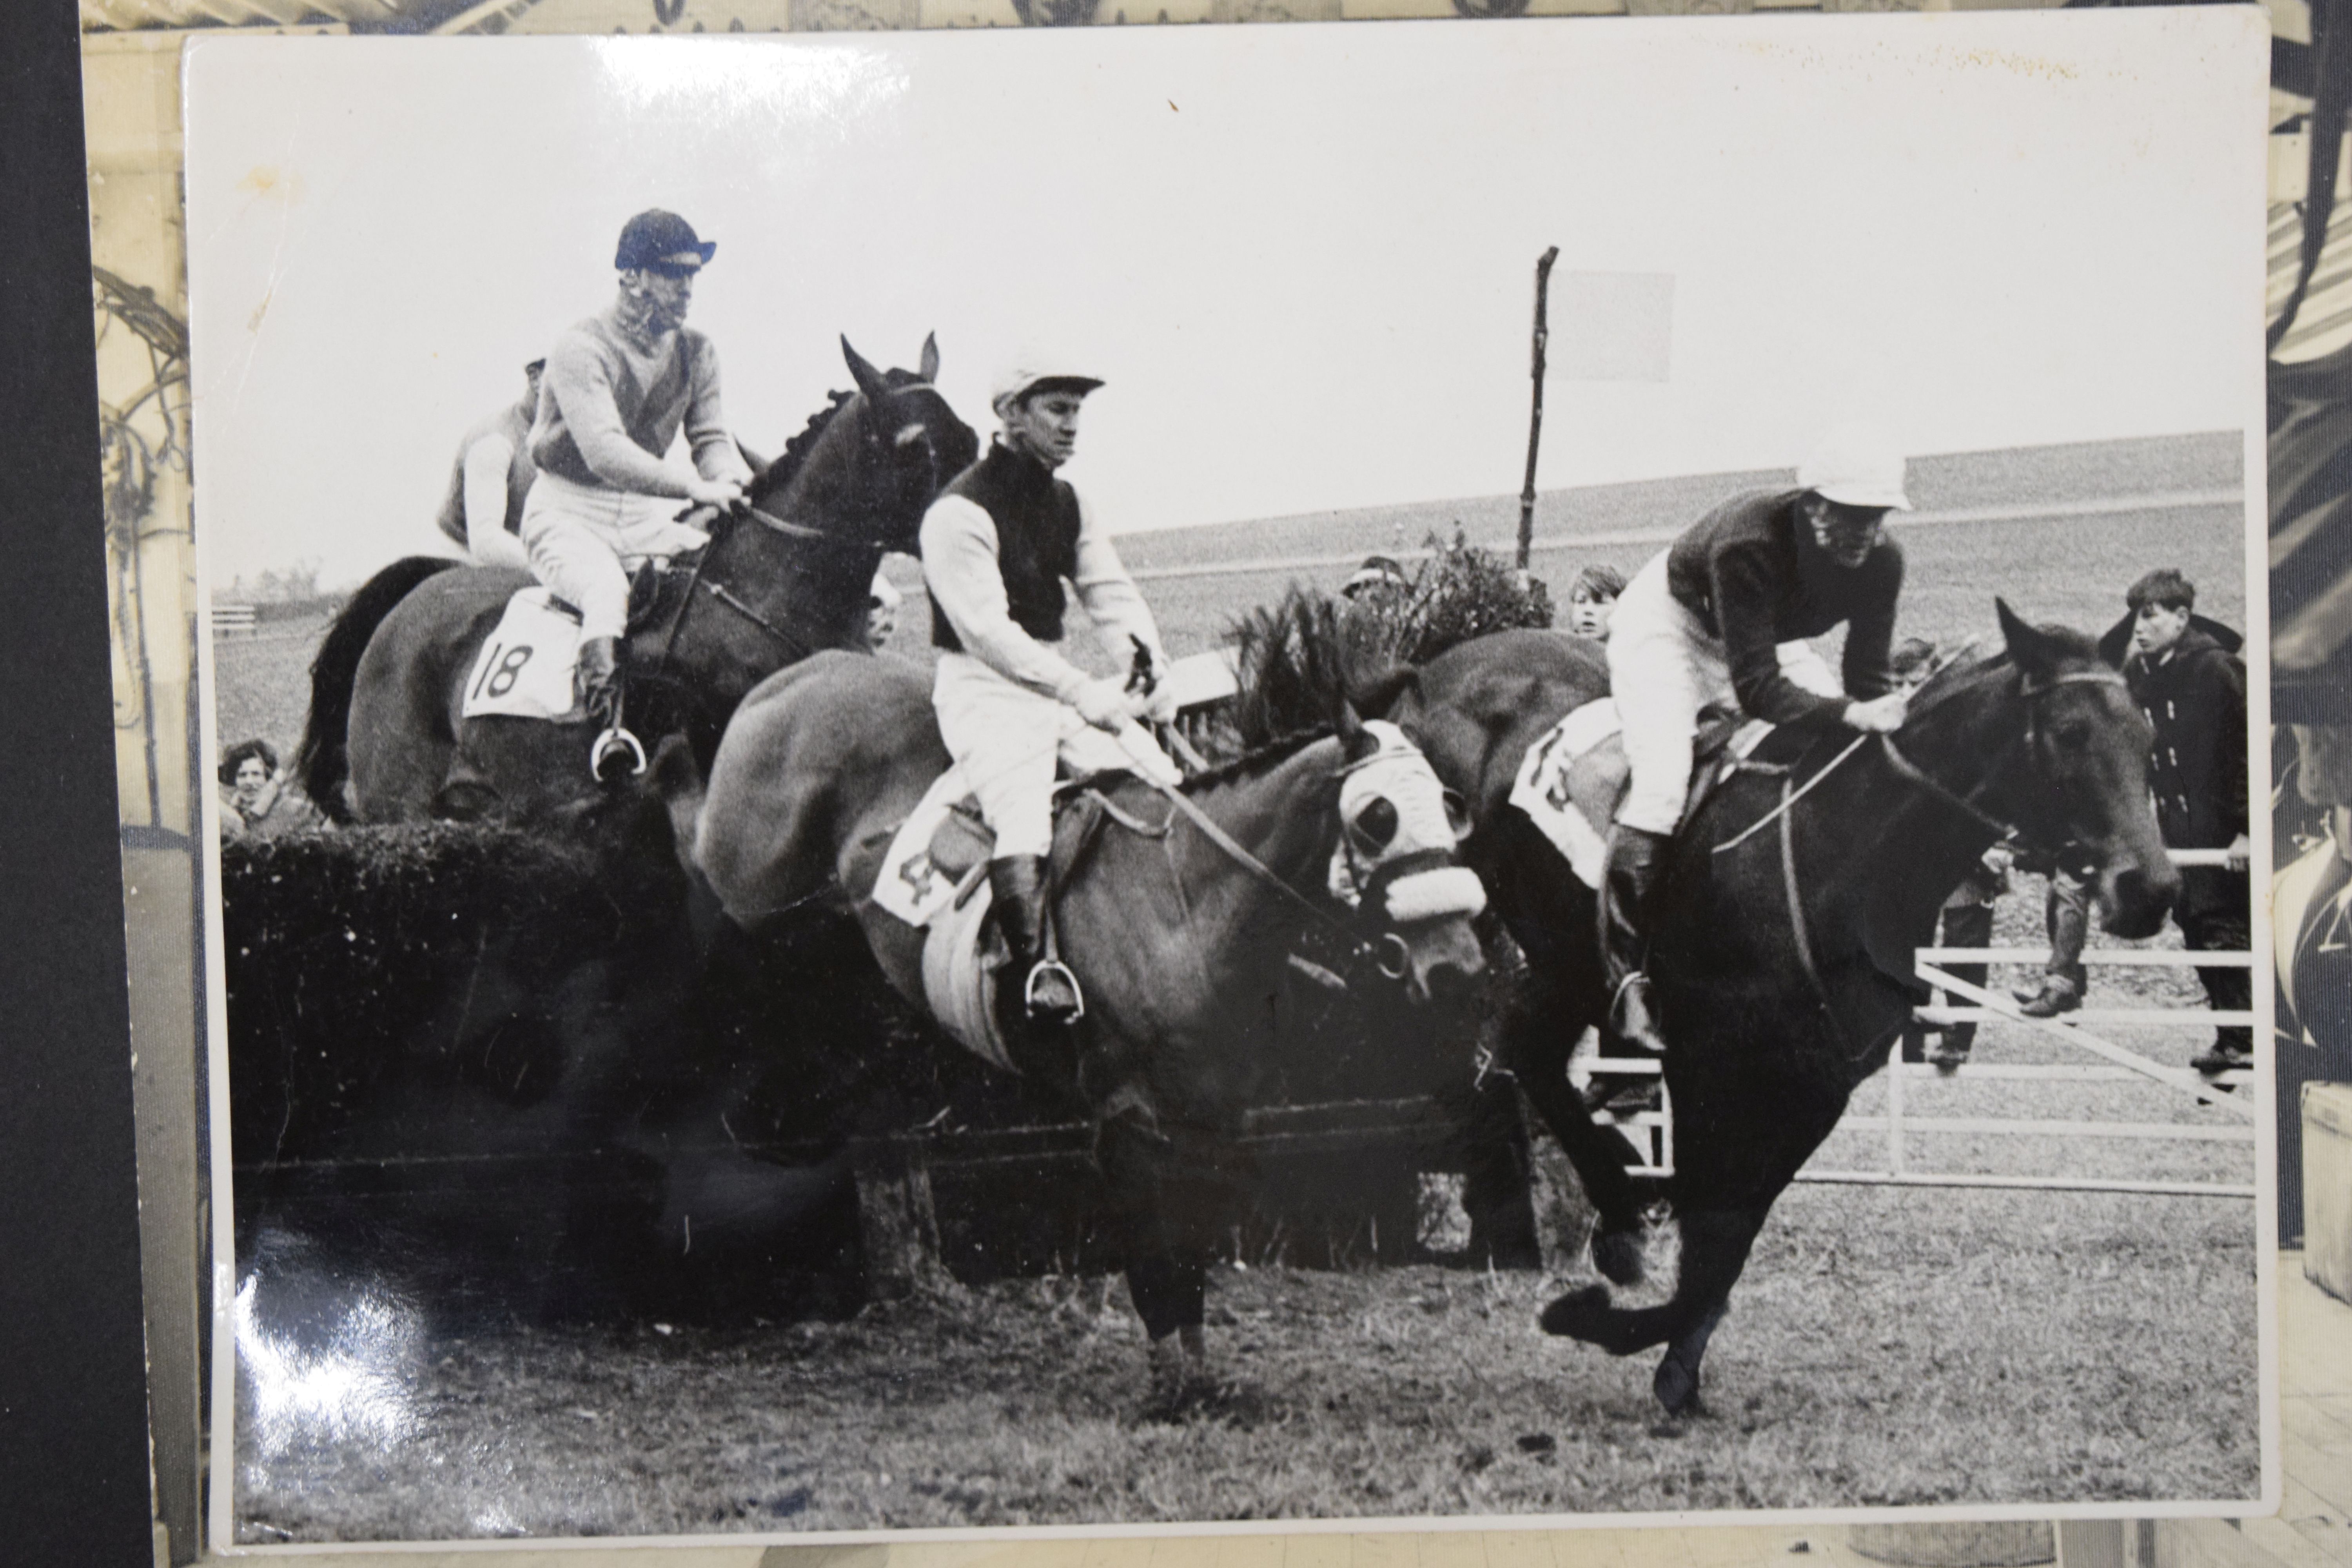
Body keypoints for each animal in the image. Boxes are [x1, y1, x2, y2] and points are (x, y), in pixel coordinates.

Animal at [687, 649, 1486, 1401]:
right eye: (1377, 818)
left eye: (1452, 809)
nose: (1460, 969)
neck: (1185, 905)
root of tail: (798, 674)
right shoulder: (1128, 1119)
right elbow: (1153, 1253)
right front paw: (1169, 1386)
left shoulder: (1214, 1113)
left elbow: (1195, 1244)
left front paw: (1201, 1376)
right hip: (748, 900)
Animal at [1242, 595, 2173, 1420]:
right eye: (2069, 734)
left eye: (2146, 736)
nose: (2151, 889)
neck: (1846, 852)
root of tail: (1433, 670)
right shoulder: (1703, 1062)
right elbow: (1709, 1223)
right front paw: (1610, 1321)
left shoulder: (1814, 1085)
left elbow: (1730, 1239)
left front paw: (1673, 1365)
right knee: (1510, 1044)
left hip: (1565, 958)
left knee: (1528, 1052)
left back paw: (1619, 1217)